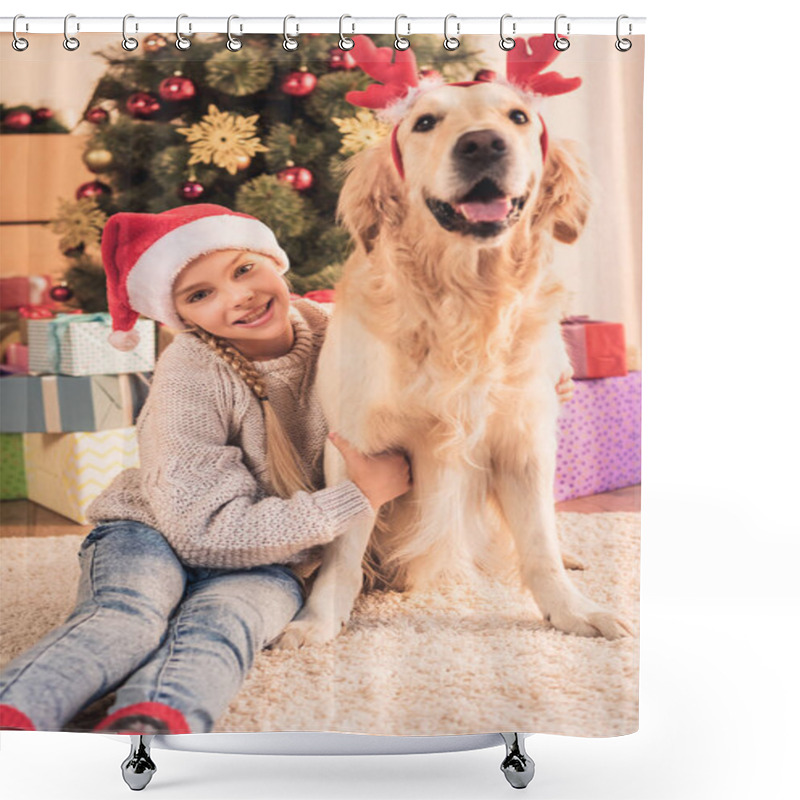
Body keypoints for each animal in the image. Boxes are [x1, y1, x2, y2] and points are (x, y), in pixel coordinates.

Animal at [278, 40, 636, 648]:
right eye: (425, 122)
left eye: (517, 118)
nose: (483, 144)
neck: (463, 302)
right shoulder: (356, 443)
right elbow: (344, 550)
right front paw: (317, 622)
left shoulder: (525, 441)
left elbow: (539, 544)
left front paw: (571, 610)